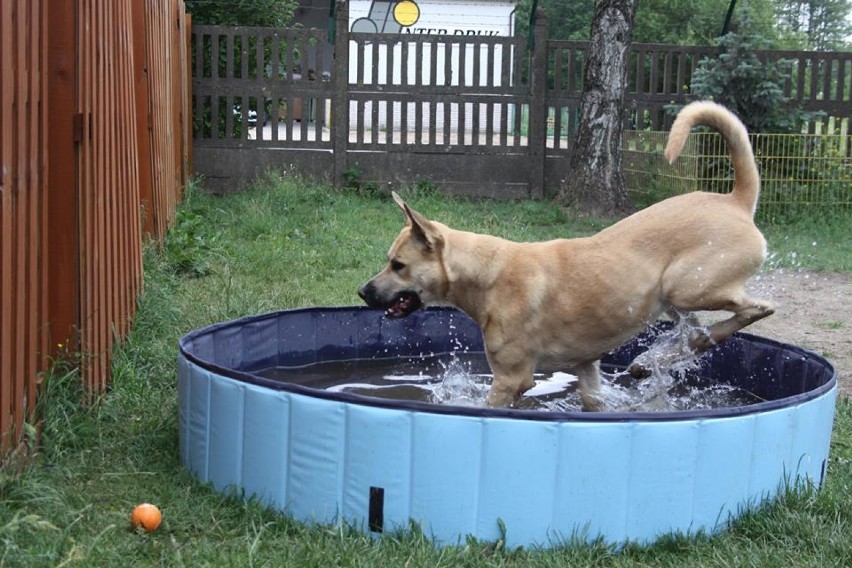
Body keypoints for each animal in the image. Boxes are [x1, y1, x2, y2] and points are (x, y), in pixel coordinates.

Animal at [356, 102, 776, 410]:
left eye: (398, 265)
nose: (362, 292)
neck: (487, 273)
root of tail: (736, 201)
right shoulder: (586, 366)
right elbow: (594, 399)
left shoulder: (511, 379)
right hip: (674, 300)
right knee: (698, 334)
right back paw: (651, 363)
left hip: (687, 287)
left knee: (755, 310)